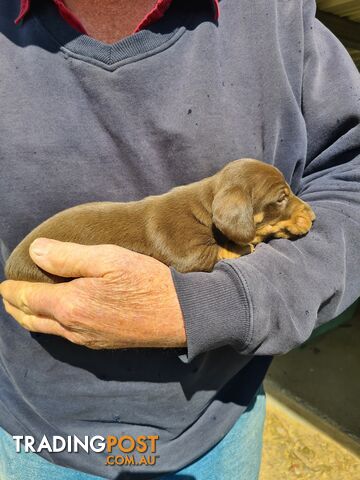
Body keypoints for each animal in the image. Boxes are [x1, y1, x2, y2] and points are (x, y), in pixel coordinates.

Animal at [4, 159, 316, 284]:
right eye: (281, 198)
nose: (313, 216)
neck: (205, 210)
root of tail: (9, 267)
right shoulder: (186, 253)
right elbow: (219, 251)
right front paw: (242, 246)